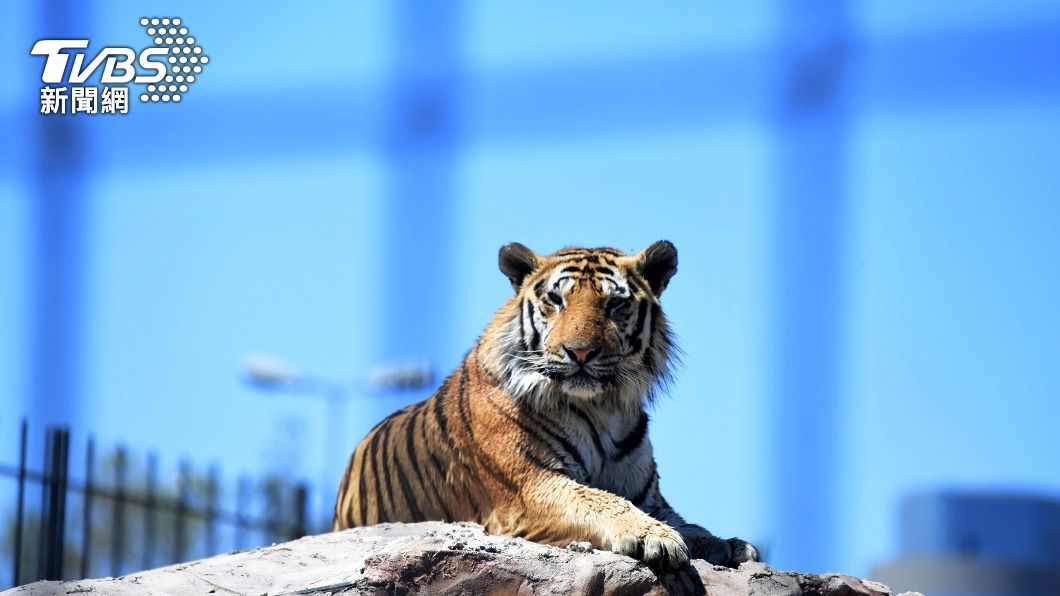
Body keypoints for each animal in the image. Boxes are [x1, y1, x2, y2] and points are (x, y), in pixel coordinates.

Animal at [332, 241, 759, 569]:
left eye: (615, 305)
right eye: (556, 300)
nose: (580, 352)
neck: (603, 409)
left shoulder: (648, 496)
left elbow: (689, 524)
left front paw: (731, 545)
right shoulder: (531, 485)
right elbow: (600, 500)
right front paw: (654, 537)